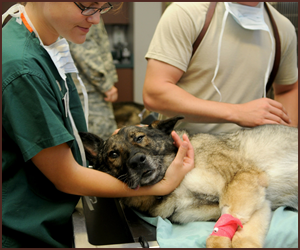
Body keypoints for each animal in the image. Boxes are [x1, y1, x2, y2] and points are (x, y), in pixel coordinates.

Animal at [79, 117, 298, 248]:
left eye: (140, 138)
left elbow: (228, 225)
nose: (137, 161)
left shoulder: (243, 179)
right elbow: (241, 232)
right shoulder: (257, 201)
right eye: (113, 154)